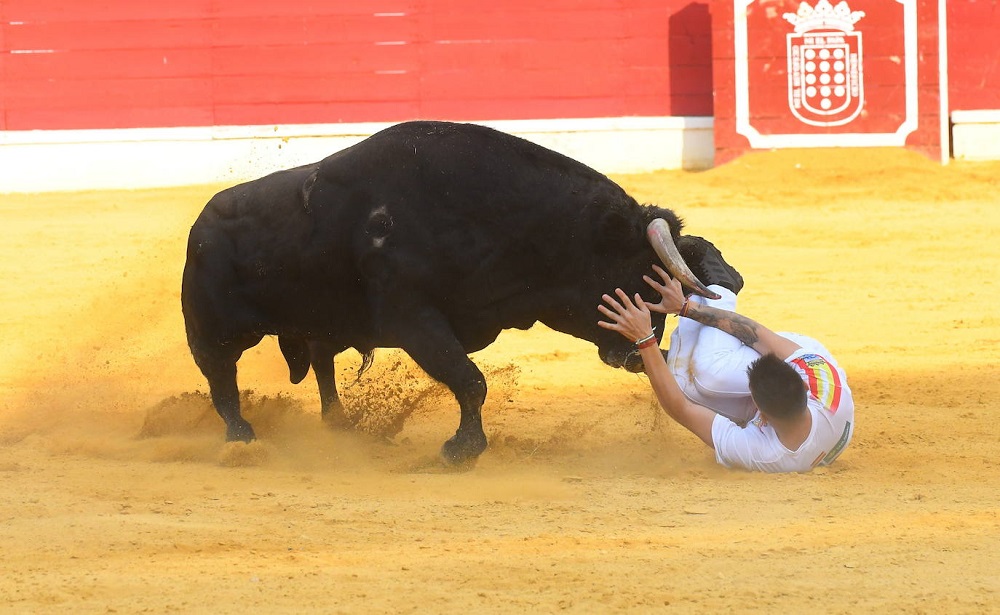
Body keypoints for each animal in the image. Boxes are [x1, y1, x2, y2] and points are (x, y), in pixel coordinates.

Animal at [184, 120, 716, 466]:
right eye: (641, 281)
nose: (639, 352)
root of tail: (202, 222)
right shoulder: (414, 319)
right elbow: (470, 381)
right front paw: (460, 450)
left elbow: (468, 380)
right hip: (212, 331)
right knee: (222, 380)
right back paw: (242, 441)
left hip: (323, 324)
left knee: (319, 362)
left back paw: (339, 426)